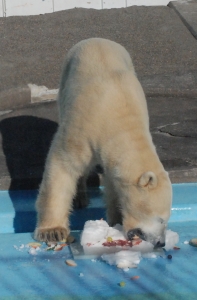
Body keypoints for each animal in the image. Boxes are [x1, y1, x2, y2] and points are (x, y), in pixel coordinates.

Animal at [34, 38, 172, 248]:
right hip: (65, 80)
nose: (161, 243)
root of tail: (96, 39)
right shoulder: (82, 129)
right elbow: (62, 167)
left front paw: (116, 219)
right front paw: (52, 231)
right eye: (161, 219)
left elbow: (113, 181)